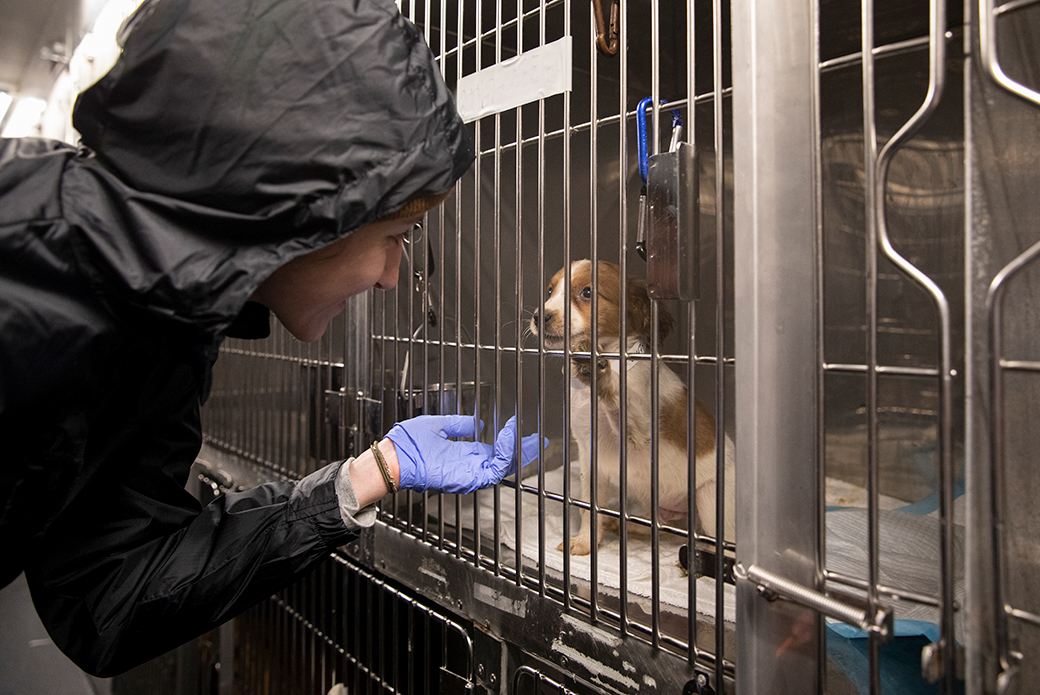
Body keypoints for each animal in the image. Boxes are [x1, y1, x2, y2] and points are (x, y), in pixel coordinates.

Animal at [532, 258, 736, 557]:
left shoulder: (641, 434)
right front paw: (585, 542)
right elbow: (589, 507)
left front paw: (599, 372)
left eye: (587, 292)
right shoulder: (589, 456)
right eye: (549, 291)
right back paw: (628, 525)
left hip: (709, 499)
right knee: (663, 529)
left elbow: (619, 399)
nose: (539, 316)